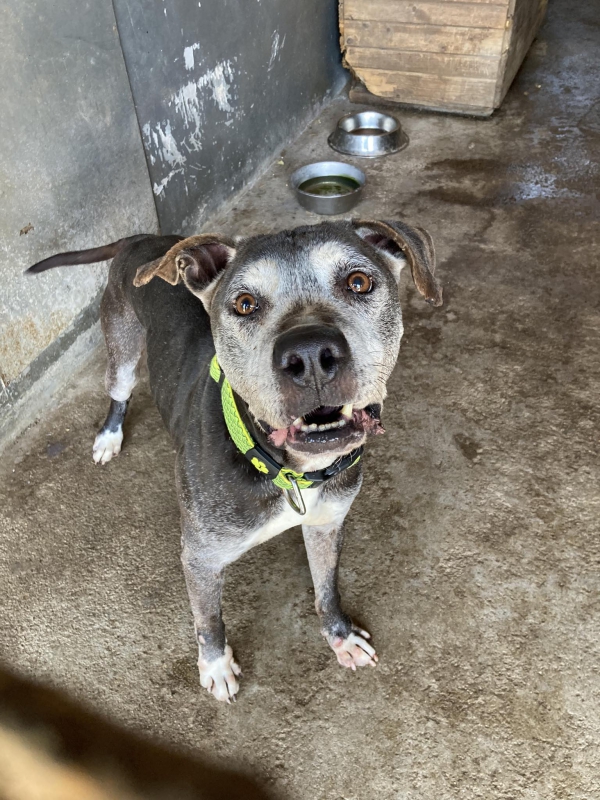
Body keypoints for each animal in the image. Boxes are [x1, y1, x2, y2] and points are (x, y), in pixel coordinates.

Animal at [27, 220, 442, 703]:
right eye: (245, 304)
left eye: (359, 282)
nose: (310, 355)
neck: (289, 471)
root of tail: (140, 238)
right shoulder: (201, 557)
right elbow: (208, 620)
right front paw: (216, 666)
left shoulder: (326, 524)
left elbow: (327, 589)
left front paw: (339, 636)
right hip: (123, 349)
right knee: (119, 392)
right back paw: (109, 437)